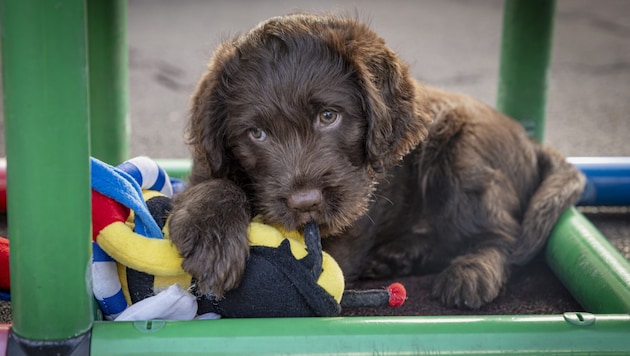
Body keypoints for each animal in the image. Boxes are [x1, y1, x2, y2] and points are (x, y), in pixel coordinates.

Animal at [169, 13, 588, 308]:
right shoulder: (209, 166)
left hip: (463, 151)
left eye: (329, 116)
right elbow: (216, 182)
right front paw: (212, 236)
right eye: (256, 134)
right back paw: (398, 256)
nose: (305, 203)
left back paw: (471, 272)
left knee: (504, 234)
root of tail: (530, 139)